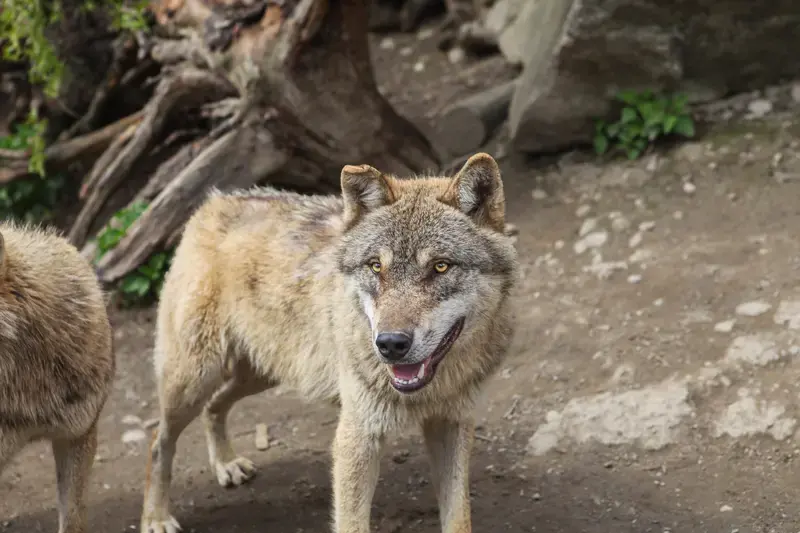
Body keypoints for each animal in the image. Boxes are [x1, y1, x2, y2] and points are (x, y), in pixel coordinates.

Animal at [140, 152, 518, 533]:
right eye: (375, 266)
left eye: (441, 266)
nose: (390, 344)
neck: (429, 390)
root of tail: (213, 203)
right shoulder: (356, 436)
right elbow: (351, 522)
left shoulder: (451, 425)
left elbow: (459, 517)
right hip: (194, 381)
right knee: (159, 441)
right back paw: (156, 517)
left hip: (261, 374)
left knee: (214, 406)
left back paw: (226, 464)